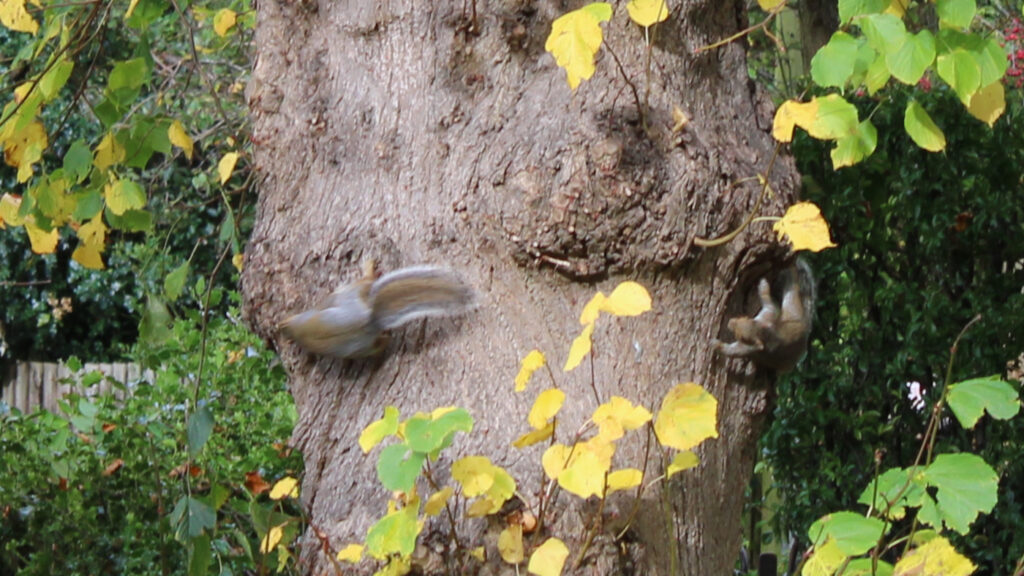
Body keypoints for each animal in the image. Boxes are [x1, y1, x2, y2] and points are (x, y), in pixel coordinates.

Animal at [279, 261, 476, 359]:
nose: (280, 327)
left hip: (351, 292)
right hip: (363, 347)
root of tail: (369, 318)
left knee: (366, 279)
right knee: (380, 345)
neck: (296, 330)